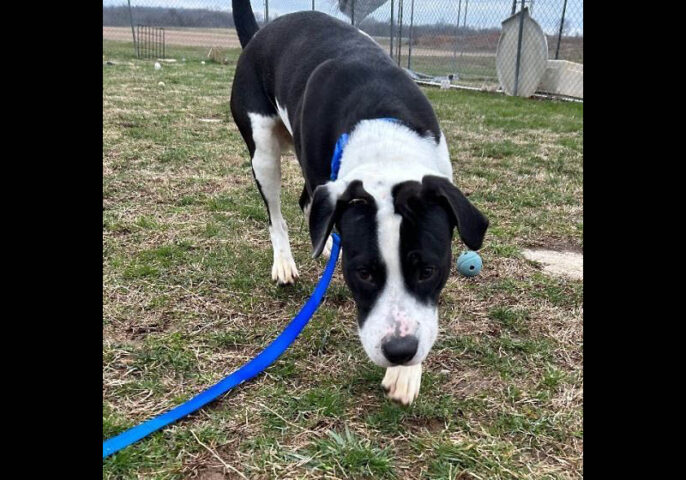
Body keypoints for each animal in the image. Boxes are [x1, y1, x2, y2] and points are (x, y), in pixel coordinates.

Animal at [231, 0, 490, 404]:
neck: (383, 136)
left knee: (308, 203)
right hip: (262, 150)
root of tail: (262, 32)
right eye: (363, 273)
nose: (399, 351)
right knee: (276, 212)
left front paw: (407, 374)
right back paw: (285, 262)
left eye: (428, 270)